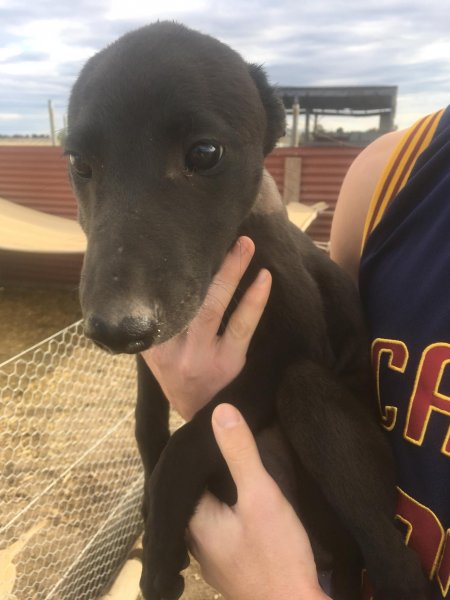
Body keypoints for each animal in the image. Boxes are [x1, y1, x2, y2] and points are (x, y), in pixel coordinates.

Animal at [67, 21, 428, 596]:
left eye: (204, 153)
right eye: (79, 163)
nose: (116, 329)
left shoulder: (282, 355)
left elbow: (188, 442)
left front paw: (159, 557)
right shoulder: (159, 351)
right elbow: (148, 423)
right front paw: (149, 510)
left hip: (311, 396)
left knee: (394, 558)